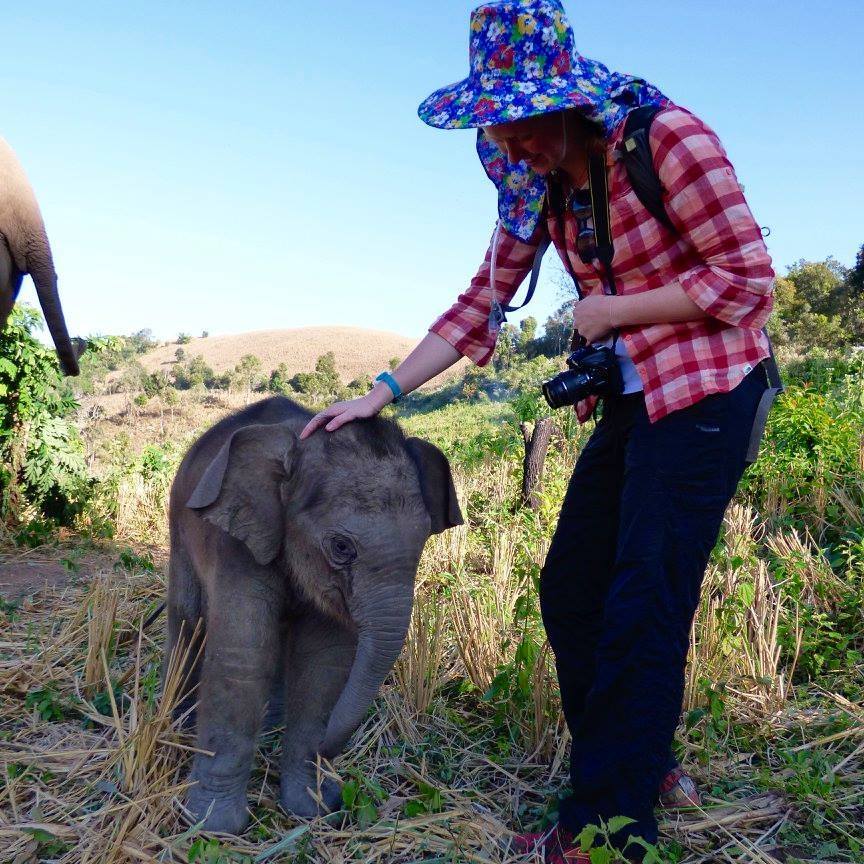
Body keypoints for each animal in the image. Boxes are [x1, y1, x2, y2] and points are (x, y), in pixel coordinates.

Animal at [170, 396, 466, 832]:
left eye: (424, 540)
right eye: (341, 547)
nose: (327, 753)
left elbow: (323, 663)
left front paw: (312, 808)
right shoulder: (238, 539)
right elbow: (244, 655)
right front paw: (213, 825)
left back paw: (271, 724)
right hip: (178, 523)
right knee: (187, 617)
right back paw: (175, 725)